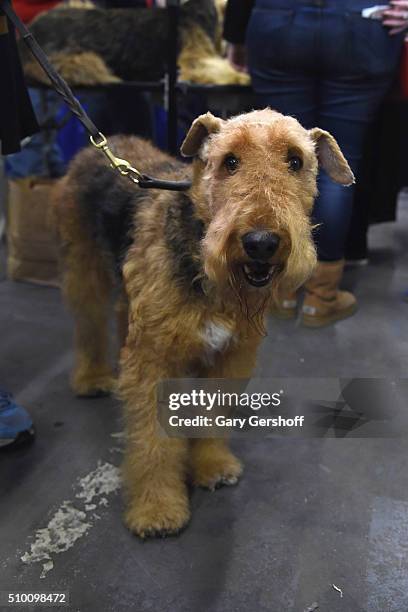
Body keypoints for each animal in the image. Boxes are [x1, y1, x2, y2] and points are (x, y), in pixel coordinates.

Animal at [55, 109, 354, 536]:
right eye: (229, 160)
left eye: (295, 160)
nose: (261, 242)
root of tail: (99, 144)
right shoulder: (154, 361)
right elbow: (153, 440)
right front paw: (158, 509)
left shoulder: (231, 354)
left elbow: (212, 418)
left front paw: (212, 467)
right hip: (86, 268)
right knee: (88, 324)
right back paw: (92, 379)